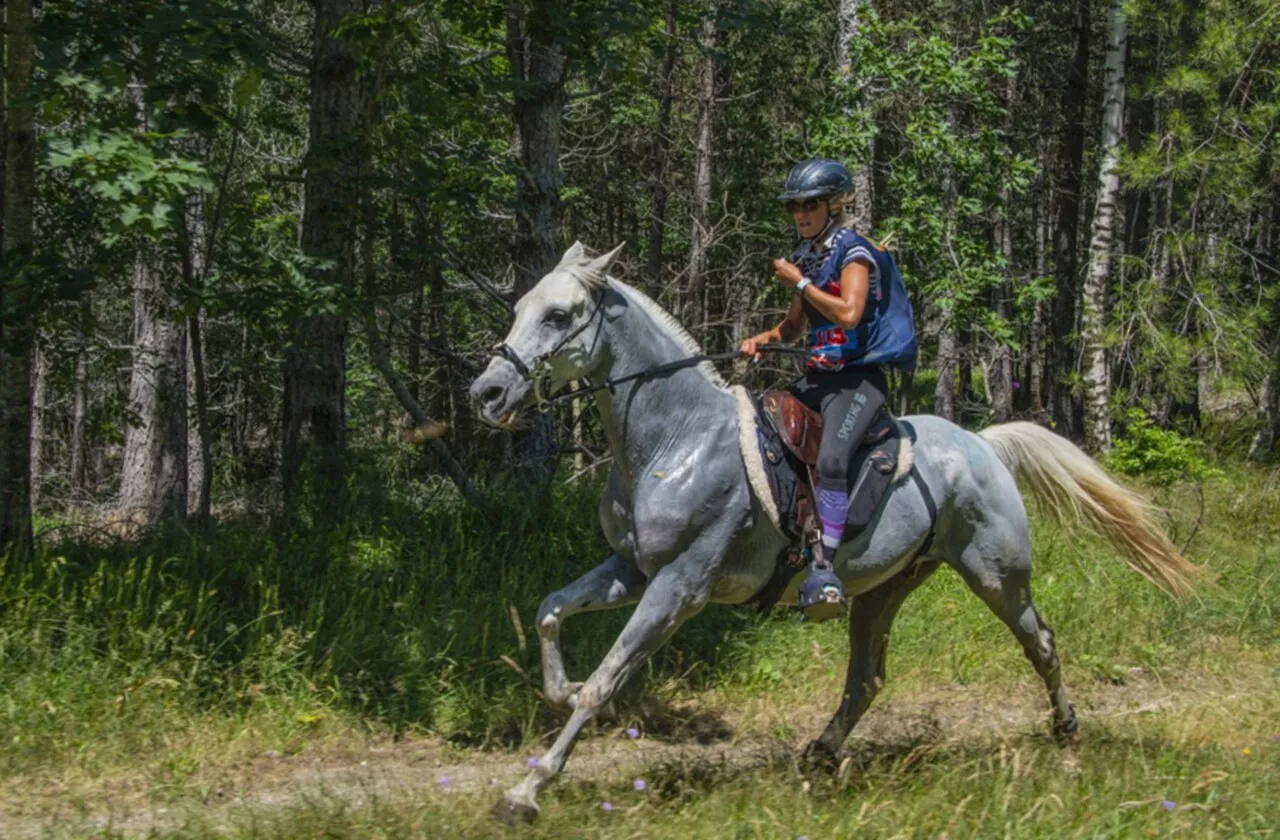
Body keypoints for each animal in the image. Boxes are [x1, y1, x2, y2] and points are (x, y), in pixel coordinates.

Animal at [471, 240, 1198, 819]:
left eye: (558, 315)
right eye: (520, 308)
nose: (487, 394)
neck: (676, 439)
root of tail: (983, 445)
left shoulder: (680, 585)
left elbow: (607, 679)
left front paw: (526, 792)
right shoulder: (632, 568)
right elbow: (549, 612)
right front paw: (559, 690)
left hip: (997, 574)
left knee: (1040, 643)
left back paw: (1067, 730)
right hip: (885, 586)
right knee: (868, 677)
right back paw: (820, 752)